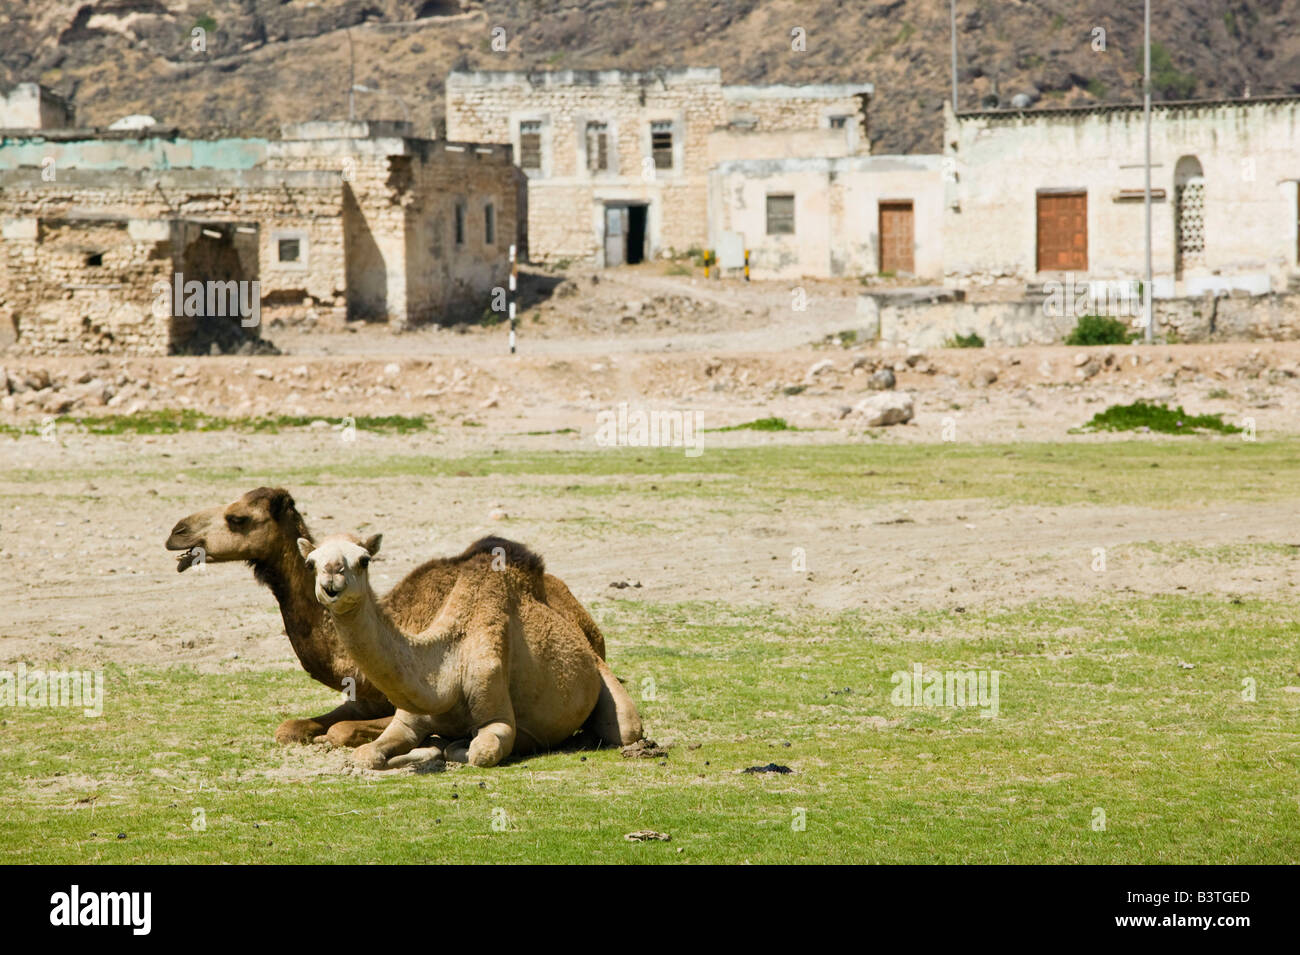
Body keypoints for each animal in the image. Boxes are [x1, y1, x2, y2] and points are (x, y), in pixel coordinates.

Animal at [296, 535, 639, 774]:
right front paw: (431, 746)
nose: (331, 580)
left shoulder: (496, 712)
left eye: (365, 560)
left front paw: (453, 744)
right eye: (311, 563)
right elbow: (366, 754)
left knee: (627, 727)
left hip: (602, 674)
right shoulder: (406, 720)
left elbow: (479, 752)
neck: (447, 668)